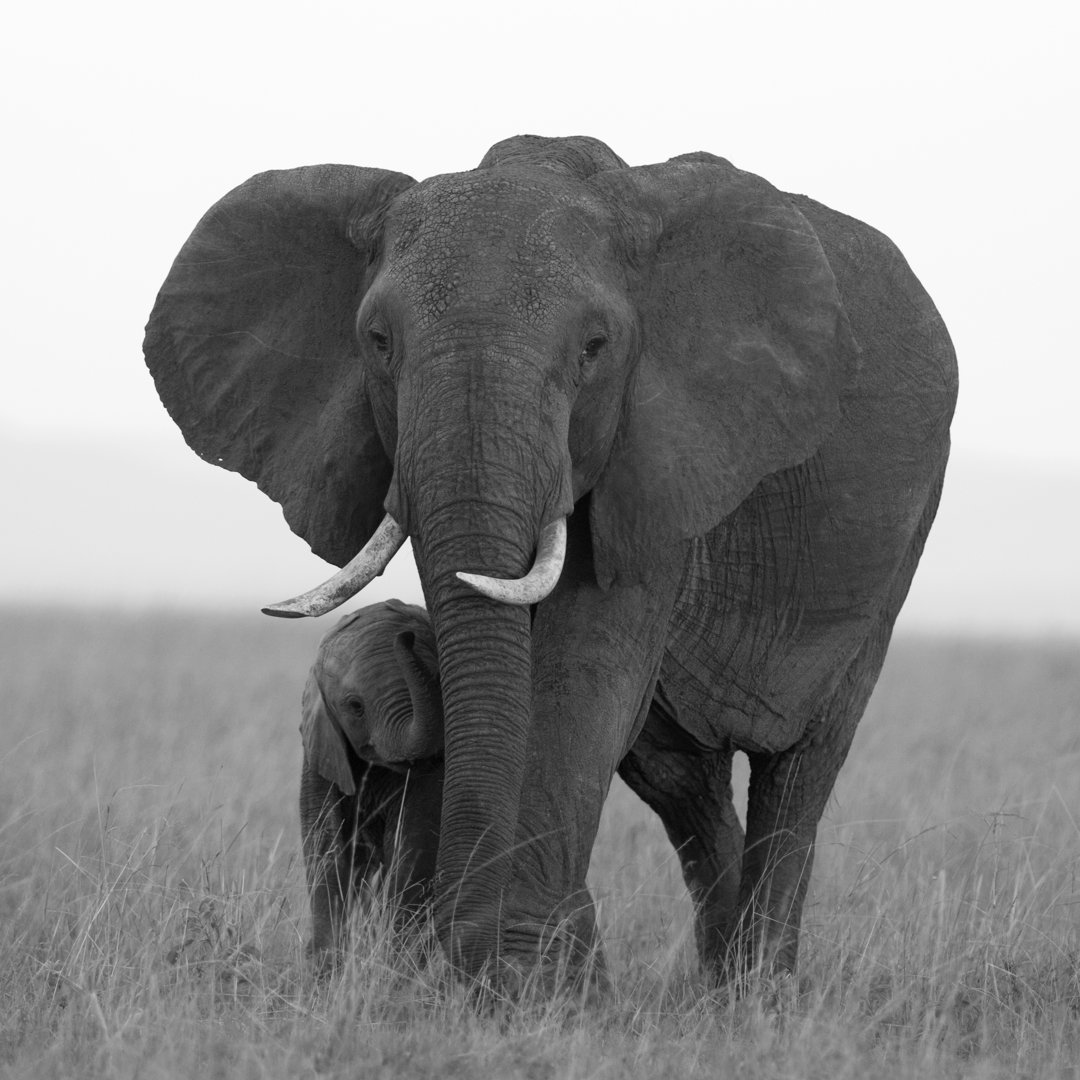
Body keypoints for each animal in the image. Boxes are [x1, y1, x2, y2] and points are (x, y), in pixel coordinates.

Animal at [300, 600, 442, 963]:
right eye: (355, 706)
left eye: (436, 682)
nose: (405, 635)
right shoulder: (320, 751)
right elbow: (324, 844)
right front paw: (326, 964)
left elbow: (412, 845)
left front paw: (395, 962)